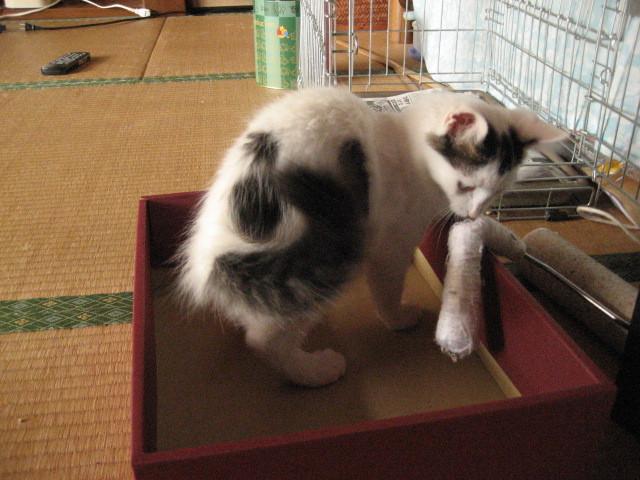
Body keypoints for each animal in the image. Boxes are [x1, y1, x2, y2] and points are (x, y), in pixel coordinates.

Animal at [177, 87, 564, 387]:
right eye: (466, 186)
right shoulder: (391, 243)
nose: (473, 215)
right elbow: (387, 288)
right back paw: (315, 370)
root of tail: (212, 262)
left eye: (498, 192)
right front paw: (399, 319)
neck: (406, 143)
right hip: (328, 258)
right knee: (265, 338)